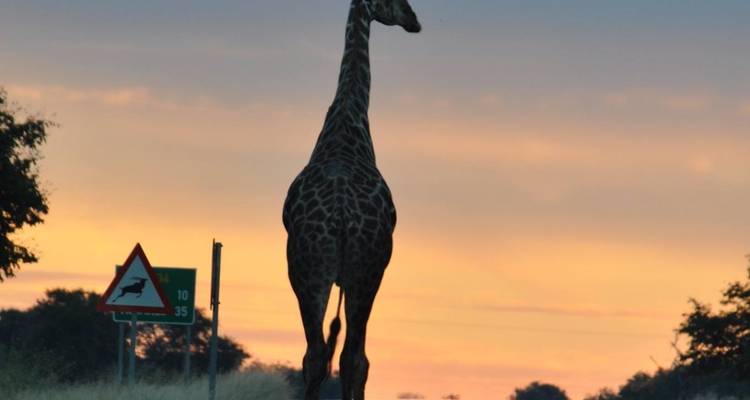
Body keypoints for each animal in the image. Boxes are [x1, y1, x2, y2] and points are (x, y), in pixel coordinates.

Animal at [282, 1, 421, 399]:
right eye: (395, 2)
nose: (414, 21)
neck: (348, 120)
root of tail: (342, 220)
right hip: (358, 272)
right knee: (349, 357)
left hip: (312, 271)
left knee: (321, 354)